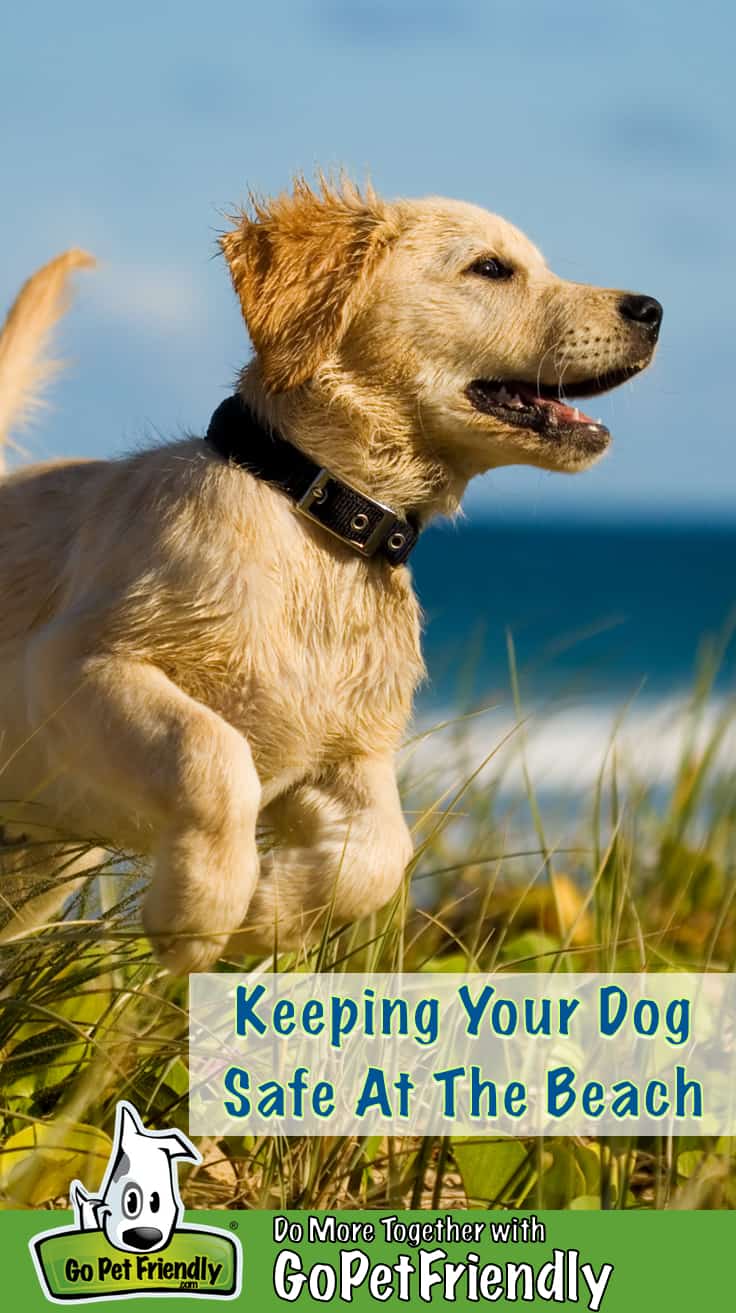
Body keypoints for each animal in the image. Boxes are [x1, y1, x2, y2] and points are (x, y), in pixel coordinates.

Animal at [0, 179, 661, 971]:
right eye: (492, 268)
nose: (652, 310)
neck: (320, 515)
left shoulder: (349, 752)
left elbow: (381, 852)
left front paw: (266, 915)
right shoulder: (77, 662)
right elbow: (211, 754)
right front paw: (196, 913)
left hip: (37, 869)